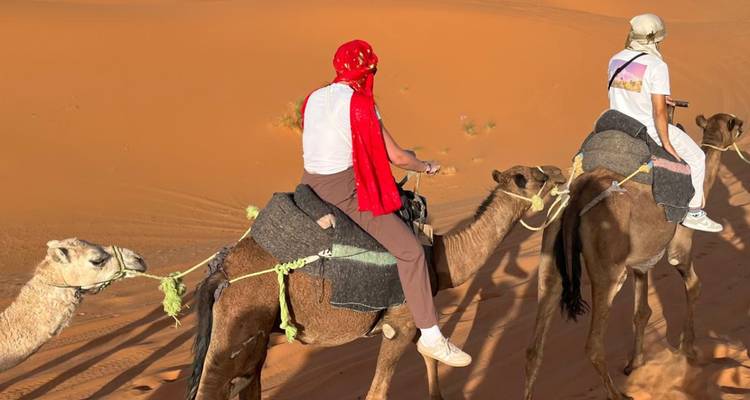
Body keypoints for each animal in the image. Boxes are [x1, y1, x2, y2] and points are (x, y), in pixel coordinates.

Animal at [185, 165, 566, 400]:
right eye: (529, 177)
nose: (560, 173)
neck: (439, 257)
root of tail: (222, 270)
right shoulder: (400, 321)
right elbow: (378, 390)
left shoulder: (415, 318)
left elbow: (430, 359)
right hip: (237, 324)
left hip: (255, 336)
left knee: (245, 382)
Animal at [524, 113, 744, 400]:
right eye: (734, 124)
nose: (743, 125)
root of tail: (576, 197)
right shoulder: (680, 244)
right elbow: (694, 286)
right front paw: (688, 349)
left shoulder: (641, 263)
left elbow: (642, 311)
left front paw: (634, 363)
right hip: (608, 268)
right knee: (593, 344)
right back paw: (618, 394)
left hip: (551, 253)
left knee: (534, 347)